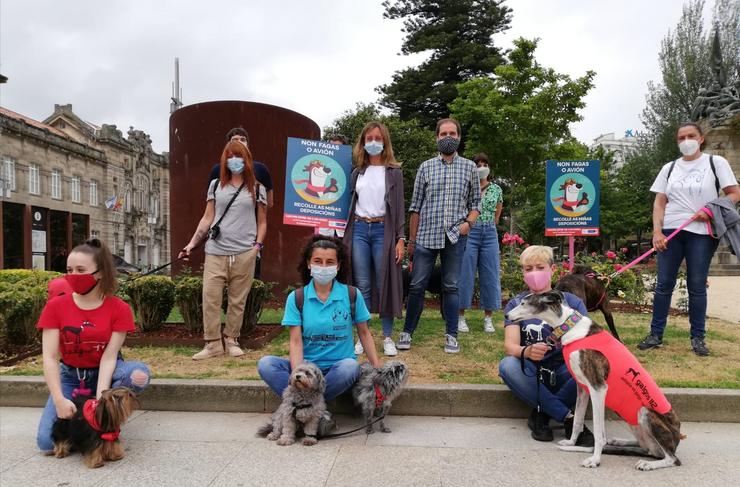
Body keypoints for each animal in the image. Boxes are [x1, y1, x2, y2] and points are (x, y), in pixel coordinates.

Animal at [506, 292, 684, 470]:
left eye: (523, 303)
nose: (506, 315)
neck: (570, 326)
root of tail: (676, 441)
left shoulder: (598, 389)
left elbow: (599, 433)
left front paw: (595, 460)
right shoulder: (582, 388)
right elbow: (577, 420)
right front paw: (571, 443)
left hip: (646, 412)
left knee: (672, 459)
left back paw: (649, 464)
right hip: (634, 422)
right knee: (648, 448)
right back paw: (619, 442)